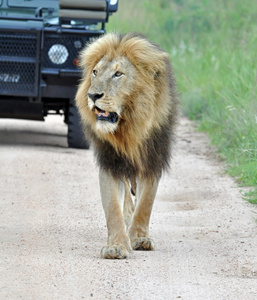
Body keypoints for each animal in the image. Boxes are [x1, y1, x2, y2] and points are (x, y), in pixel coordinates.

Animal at [75, 32, 177, 258]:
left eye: (118, 74)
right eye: (95, 72)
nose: (92, 95)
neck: (129, 130)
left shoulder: (152, 161)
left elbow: (145, 204)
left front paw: (140, 238)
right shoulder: (110, 163)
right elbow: (113, 209)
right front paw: (116, 246)